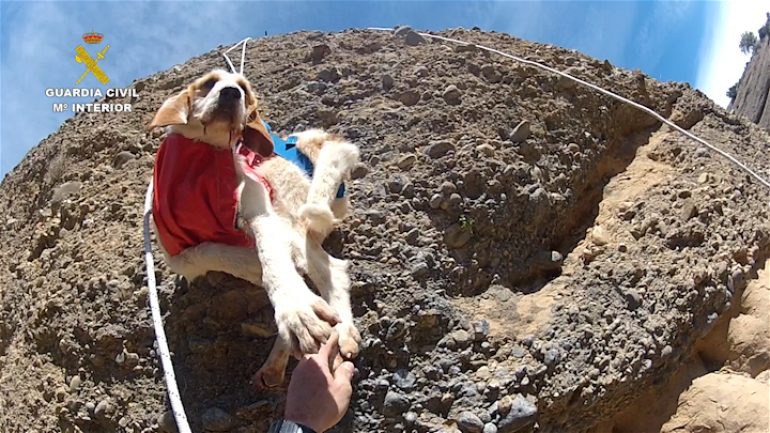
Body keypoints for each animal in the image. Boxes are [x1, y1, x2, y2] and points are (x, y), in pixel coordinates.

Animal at [149, 69, 360, 386]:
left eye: (244, 89)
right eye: (209, 83)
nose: (231, 94)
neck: (205, 159)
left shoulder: (260, 205)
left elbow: (271, 261)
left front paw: (297, 310)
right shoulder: (177, 251)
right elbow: (210, 252)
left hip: (286, 201)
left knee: (328, 268)